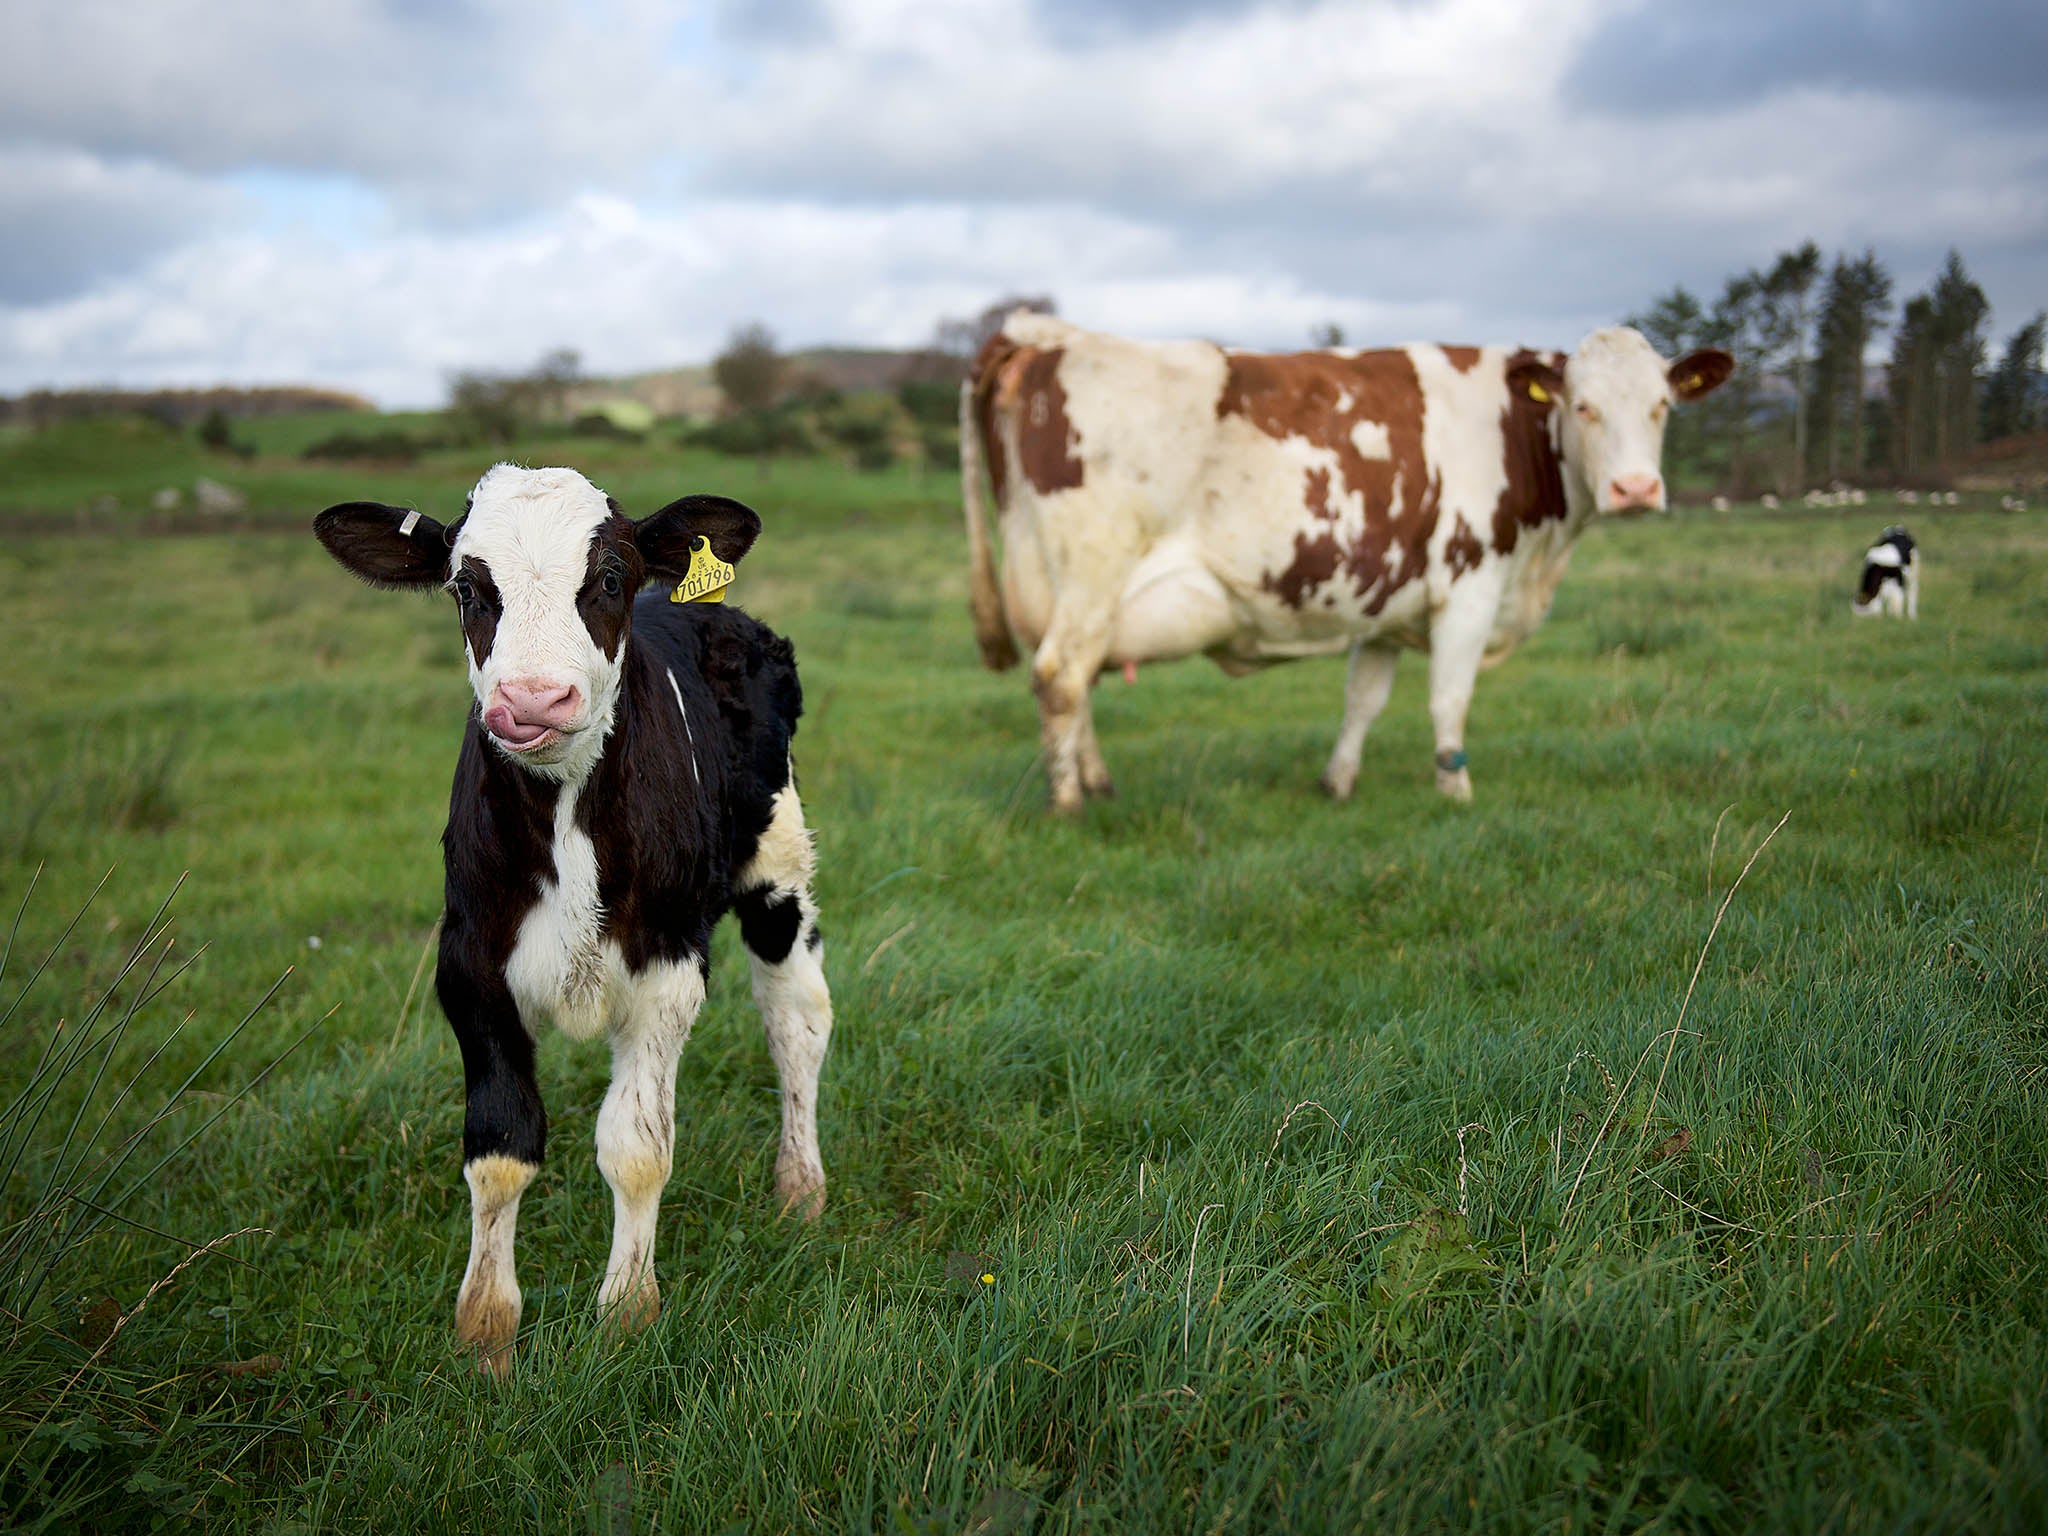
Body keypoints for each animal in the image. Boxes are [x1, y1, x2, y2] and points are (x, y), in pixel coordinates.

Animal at [315, 462, 827, 1376]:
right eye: (466, 587)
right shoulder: (470, 967)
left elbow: (635, 1147)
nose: (532, 699)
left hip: (778, 868)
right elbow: (501, 1147)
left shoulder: (668, 965)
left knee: (796, 1021)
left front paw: (626, 1313)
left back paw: (800, 1187)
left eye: (611, 577)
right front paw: (487, 1333)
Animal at [958, 315, 1728, 819]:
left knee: (1078, 677)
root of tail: (1047, 335)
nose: (1636, 488)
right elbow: (1450, 698)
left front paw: (1337, 783)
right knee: (1060, 675)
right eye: (1583, 406)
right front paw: (1456, 790)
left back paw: (1097, 782)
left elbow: (1364, 700)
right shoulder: (1471, 585)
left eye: (1662, 406)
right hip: (1091, 570)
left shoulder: (1386, 601)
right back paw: (1068, 803)